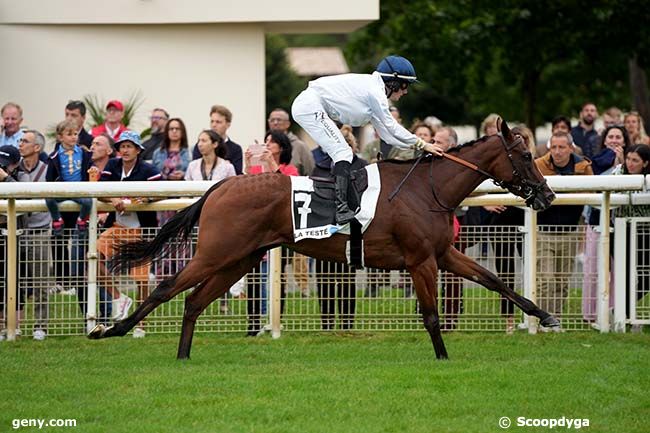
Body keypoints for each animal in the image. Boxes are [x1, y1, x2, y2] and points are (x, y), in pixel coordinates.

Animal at [88, 118, 556, 358]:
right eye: (525, 154)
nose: (548, 195)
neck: (429, 190)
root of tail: (221, 186)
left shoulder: (442, 253)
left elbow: (494, 280)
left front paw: (546, 316)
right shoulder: (420, 259)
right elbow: (431, 315)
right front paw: (442, 356)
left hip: (241, 259)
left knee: (192, 301)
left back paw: (183, 356)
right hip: (217, 253)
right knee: (166, 289)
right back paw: (110, 330)